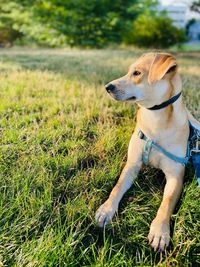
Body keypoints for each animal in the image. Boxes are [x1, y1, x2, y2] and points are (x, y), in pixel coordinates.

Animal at [95, 52, 200, 253]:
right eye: (129, 71)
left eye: (137, 73)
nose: (107, 87)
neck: (156, 120)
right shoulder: (132, 164)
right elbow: (117, 187)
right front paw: (106, 209)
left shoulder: (176, 175)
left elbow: (166, 203)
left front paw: (159, 231)